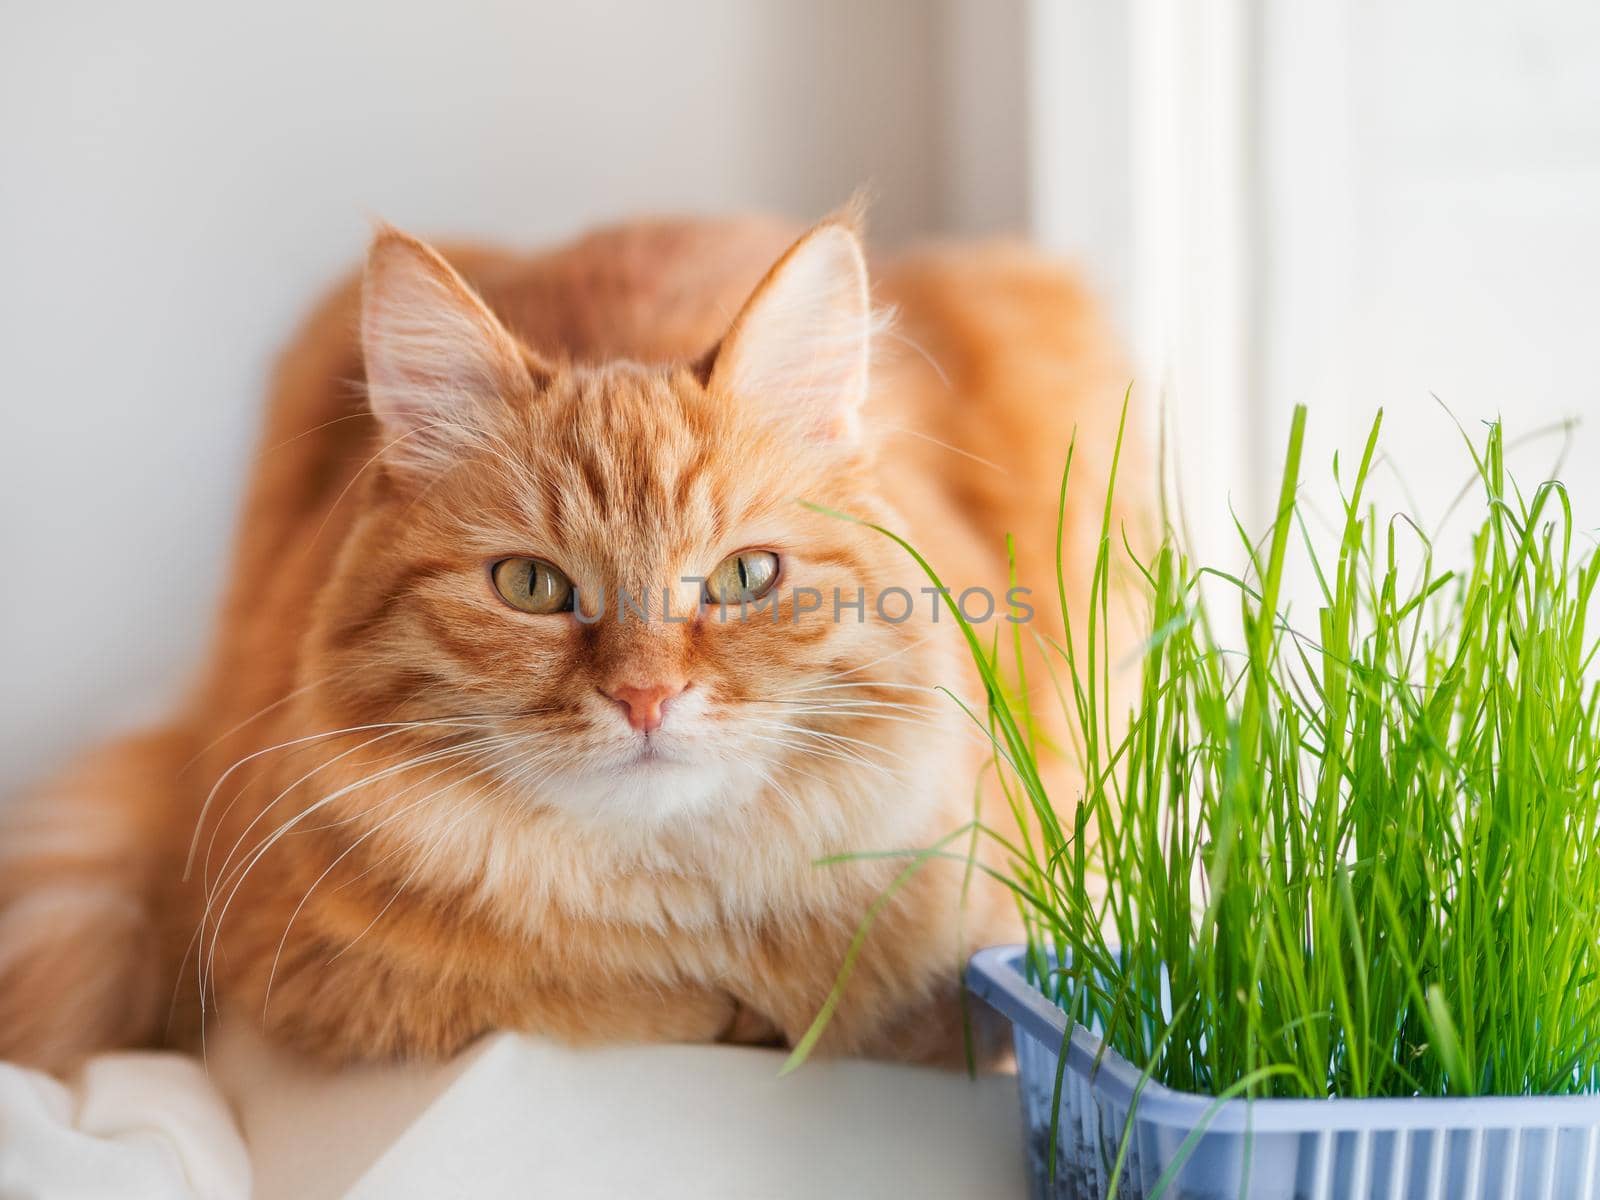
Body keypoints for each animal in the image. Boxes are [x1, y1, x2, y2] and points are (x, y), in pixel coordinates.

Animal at [0, 209, 1126, 1068]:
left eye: (744, 578)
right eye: (532, 586)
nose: (645, 698)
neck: (679, 915)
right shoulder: (301, 966)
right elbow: (578, 995)